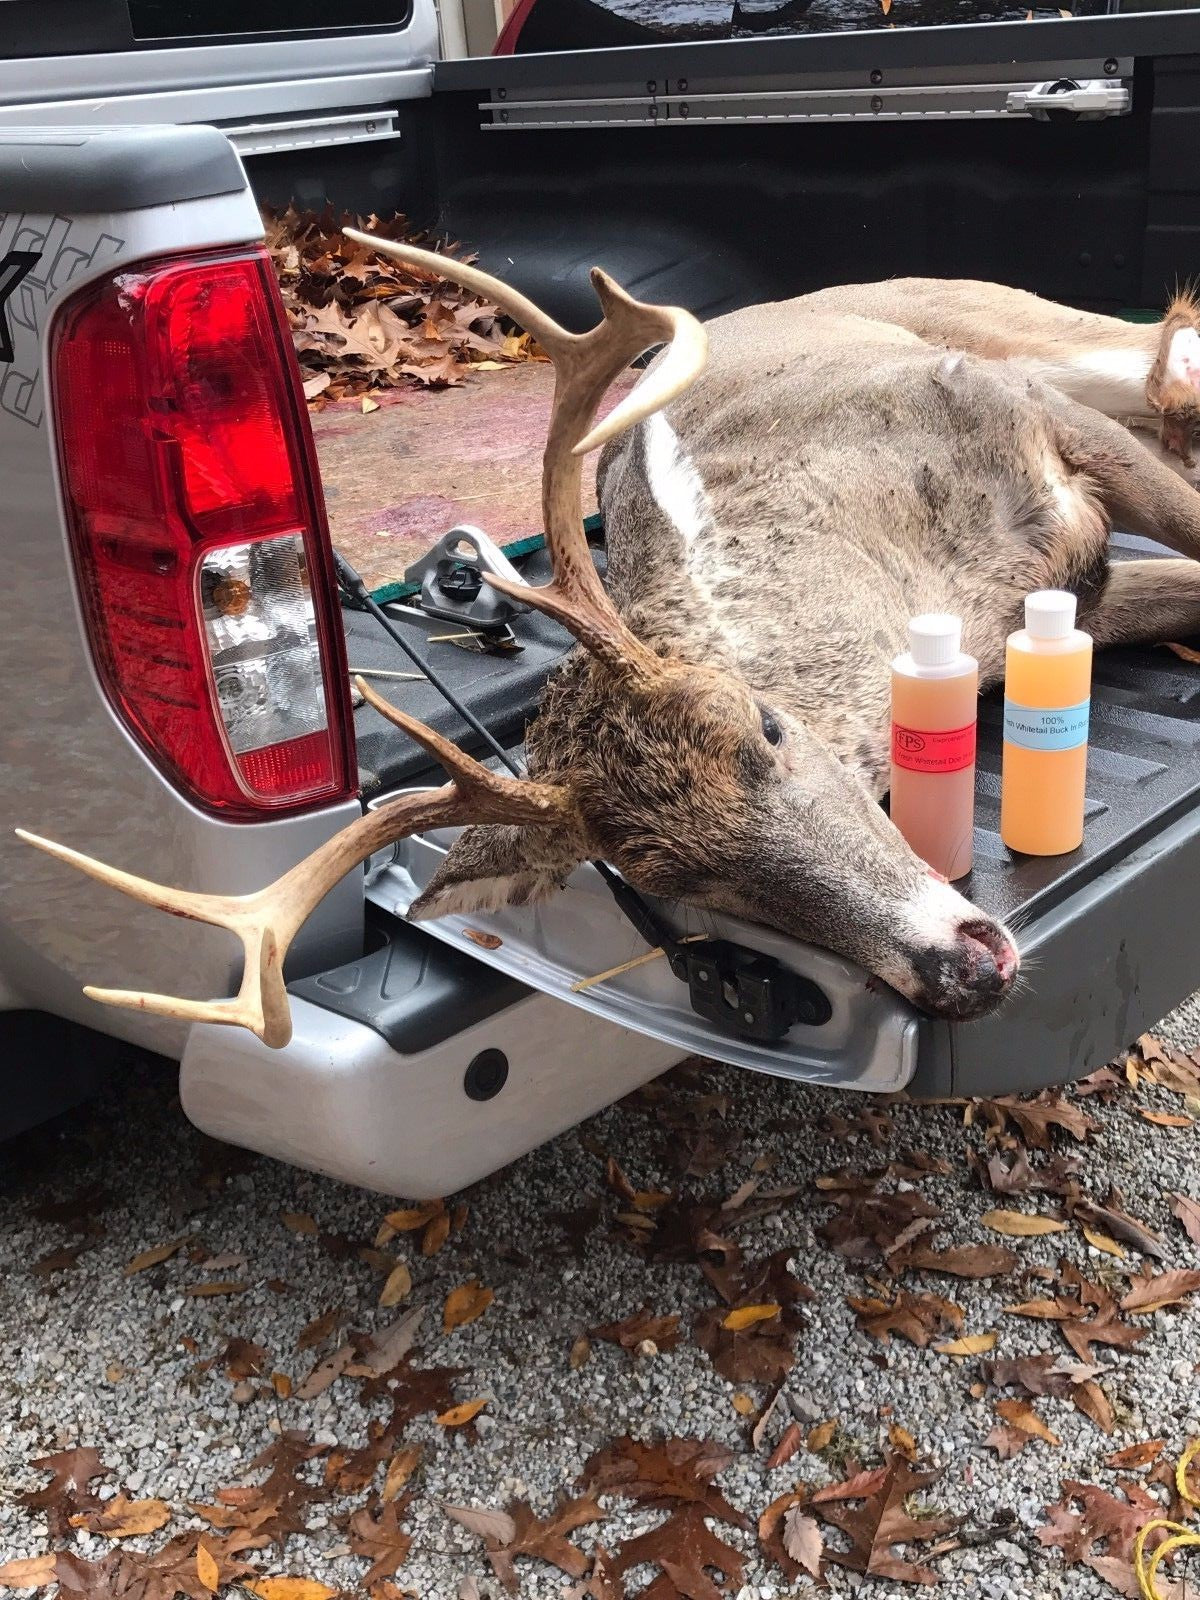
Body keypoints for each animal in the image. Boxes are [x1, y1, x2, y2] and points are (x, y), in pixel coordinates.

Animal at [19, 240, 1200, 1052]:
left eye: (767, 728)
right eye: (674, 874)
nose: (960, 969)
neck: (918, 573)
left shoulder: (1033, 424)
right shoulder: (1072, 599)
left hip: (1041, 338)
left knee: (1163, 359)